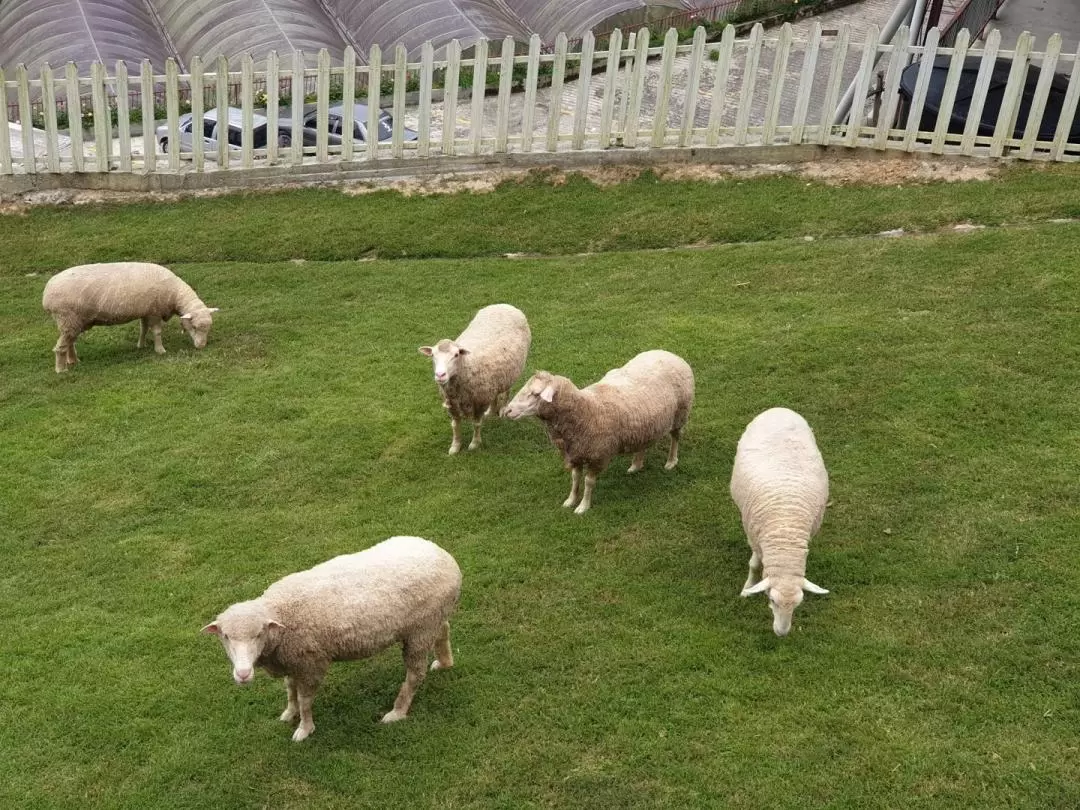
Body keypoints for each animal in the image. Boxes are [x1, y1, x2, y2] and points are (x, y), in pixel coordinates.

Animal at [41, 260, 217, 373]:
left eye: (208, 329)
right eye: (194, 327)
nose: (202, 346)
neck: (174, 294)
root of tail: (46, 295)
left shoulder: (146, 310)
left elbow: (143, 329)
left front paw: (141, 345)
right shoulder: (154, 311)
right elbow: (157, 332)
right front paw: (160, 350)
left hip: (73, 321)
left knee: (70, 342)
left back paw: (73, 361)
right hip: (68, 318)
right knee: (61, 346)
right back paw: (61, 370)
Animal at [203, 535, 460, 747]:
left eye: (258, 634)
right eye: (225, 636)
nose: (243, 674)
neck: (281, 612)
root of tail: (447, 559)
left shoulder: (311, 663)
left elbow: (305, 700)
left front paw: (305, 728)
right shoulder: (292, 660)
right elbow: (290, 690)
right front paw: (289, 712)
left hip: (420, 630)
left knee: (415, 673)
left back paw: (397, 712)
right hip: (433, 618)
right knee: (444, 630)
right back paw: (445, 662)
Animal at [414, 306, 529, 457]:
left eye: (456, 354)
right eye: (433, 355)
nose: (440, 375)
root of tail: (505, 305)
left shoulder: (479, 402)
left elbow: (476, 424)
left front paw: (474, 444)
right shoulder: (452, 404)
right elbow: (455, 426)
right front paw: (455, 446)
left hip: (509, 373)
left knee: (506, 391)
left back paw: (503, 409)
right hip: (493, 382)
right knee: (495, 396)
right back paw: (491, 412)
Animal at [501, 349, 695, 514]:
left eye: (535, 394)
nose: (508, 410)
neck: (586, 410)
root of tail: (669, 353)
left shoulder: (598, 455)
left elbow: (588, 482)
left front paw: (583, 506)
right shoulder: (576, 453)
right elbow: (575, 478)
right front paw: (570, 500)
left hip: (680, 413)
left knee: (675, 437)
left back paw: (671, 461)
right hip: (646, 424)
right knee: (643, 443)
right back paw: (636, 464)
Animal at [730, 408, 829, 639]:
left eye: (799, 604)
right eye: (772, 600)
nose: (781, 633)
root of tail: (780, 408)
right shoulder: (754, 536)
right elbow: (754, 565)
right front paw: (747, 589)